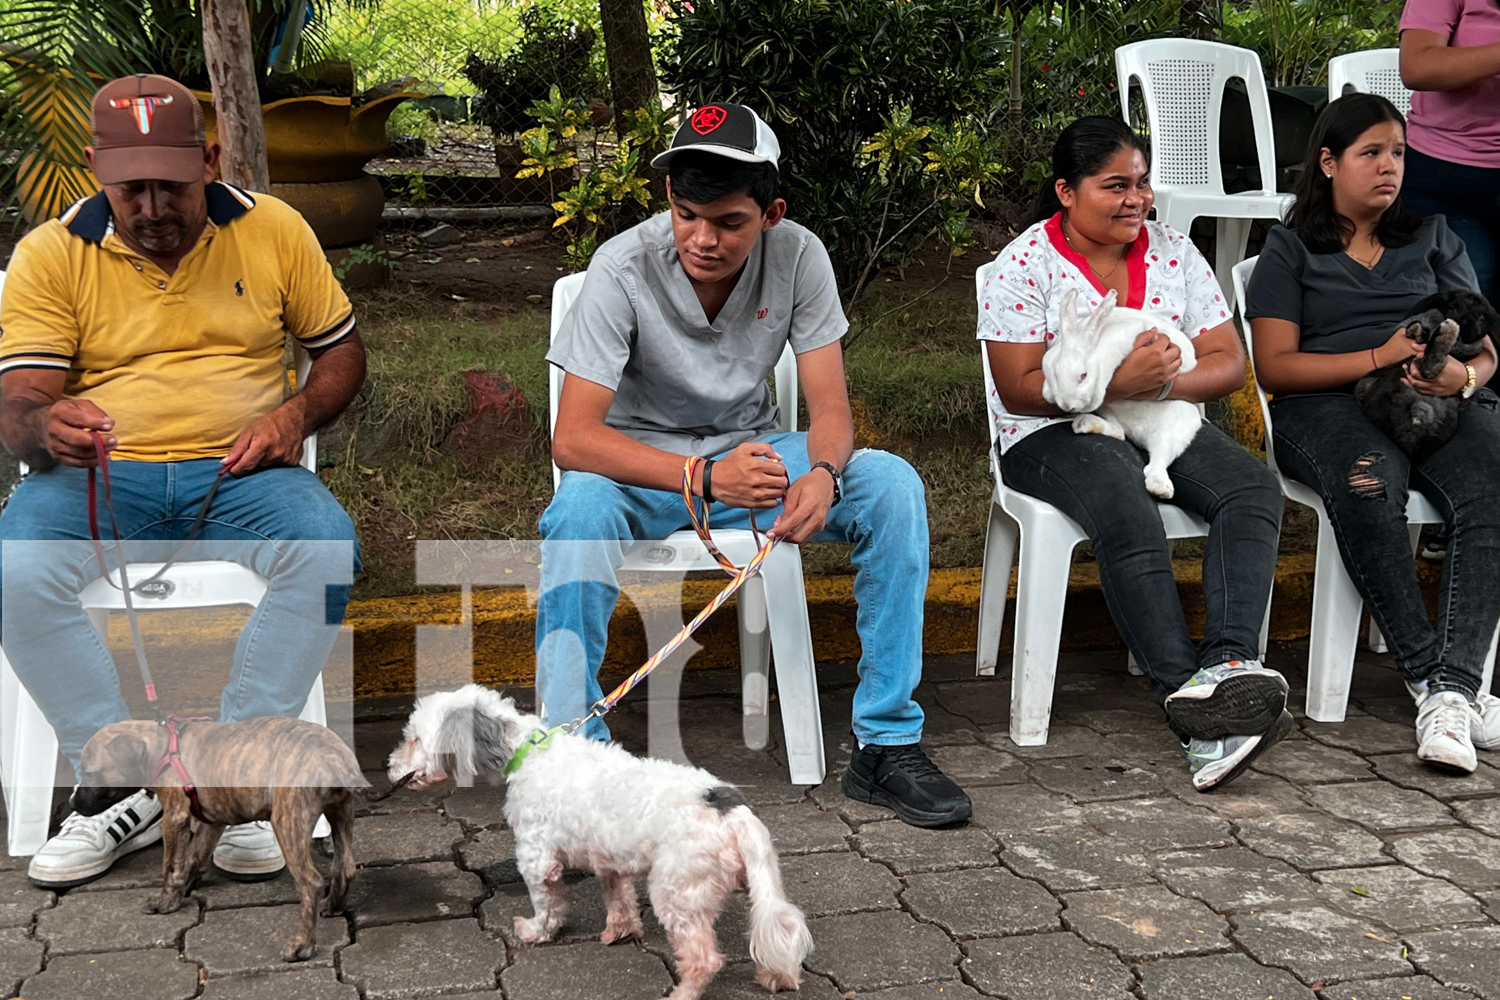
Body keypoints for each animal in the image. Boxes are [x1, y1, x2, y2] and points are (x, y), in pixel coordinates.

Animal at [76, 719, 366, 959]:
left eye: (89, 773)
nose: (74, 802)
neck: (163, 749)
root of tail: (335, 759)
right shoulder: (211, 823)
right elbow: (194, 858)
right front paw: (184, 887)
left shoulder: (175, 818)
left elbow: (170, 865)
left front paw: (165, 901)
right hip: (341, 812)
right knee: (344, 866)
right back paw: (333, 906)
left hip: (288, 819)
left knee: (311, 882)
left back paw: (302, 945)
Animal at [384, 689, 810, 1000]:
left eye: (415, 738)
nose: (389, 765)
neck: (527, 752)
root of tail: (731, 810)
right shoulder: (611, 860)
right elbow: (618, 898)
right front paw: (619, 931)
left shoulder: (537, 858)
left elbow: (548, 905)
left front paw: (536, 931)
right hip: (760, 884)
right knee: (779, 927)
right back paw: (778, 976)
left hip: (676, 893)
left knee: (704, 959)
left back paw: (682, 993)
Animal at [1356, 289, 1494, 461]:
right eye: (1454, 307)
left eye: (1481, 317)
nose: (1465, 325)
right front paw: (1417, 330)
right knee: (1429, 368)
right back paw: (1444, 331)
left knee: (1429, 368)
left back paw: (1445, 332)